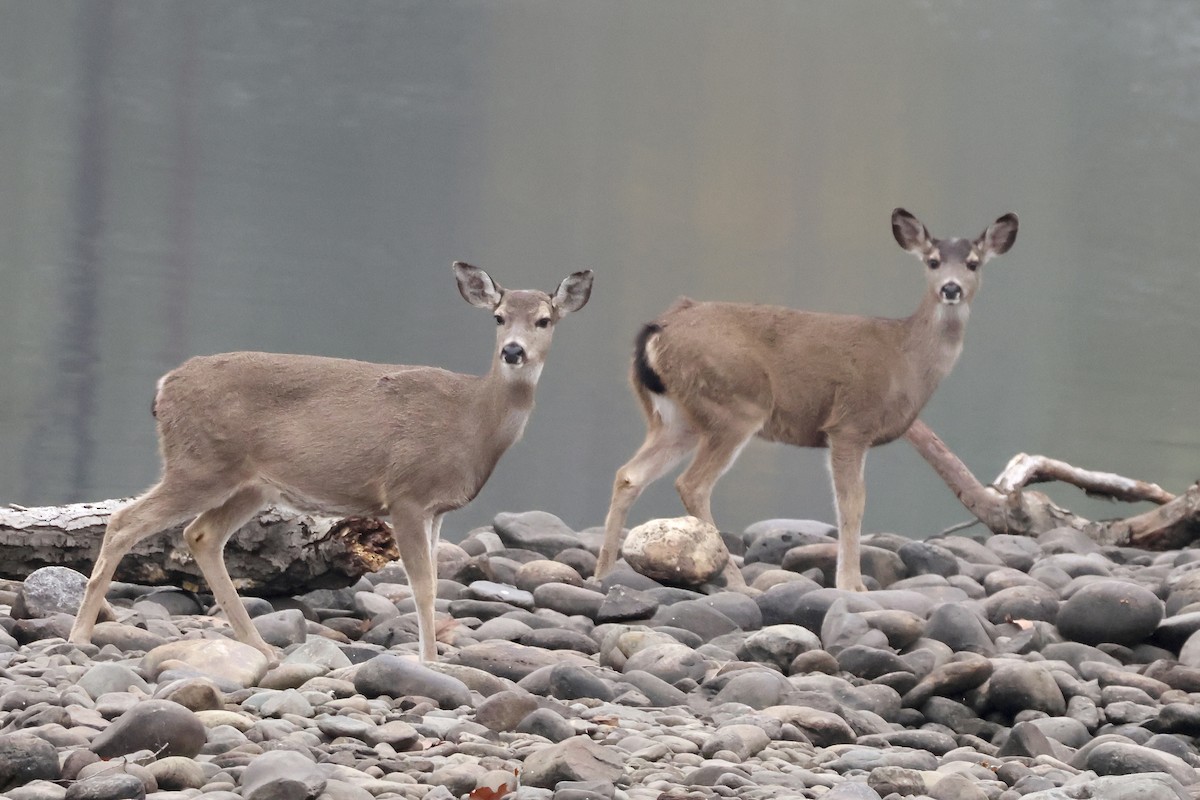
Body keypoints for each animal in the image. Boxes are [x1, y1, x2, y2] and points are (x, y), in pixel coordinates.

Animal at [68, 262, 593, 662]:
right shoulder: (406, 494)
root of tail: (164, 387)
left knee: (201, 534)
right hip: (200, 463)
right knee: (124, 520)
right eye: (499, 317)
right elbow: (422, 586)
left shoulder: (437, 507)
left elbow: (437, 584)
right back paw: (79, 635)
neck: (472, 420)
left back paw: (260, 646)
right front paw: (429, 661)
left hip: (249, 482)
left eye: (545, 320)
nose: (513, 351)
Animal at [596, 209, 1018, 591]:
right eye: (932, 261)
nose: (951, 288)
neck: (905, 359)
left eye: (973, 263)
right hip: (734, 406)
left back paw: (604, 572)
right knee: (692, 484)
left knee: (629, 474)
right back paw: (735, 581)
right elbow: (851, 503)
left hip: (675, 418)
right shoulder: (849, 423)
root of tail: (657, 330)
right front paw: (851, 585)